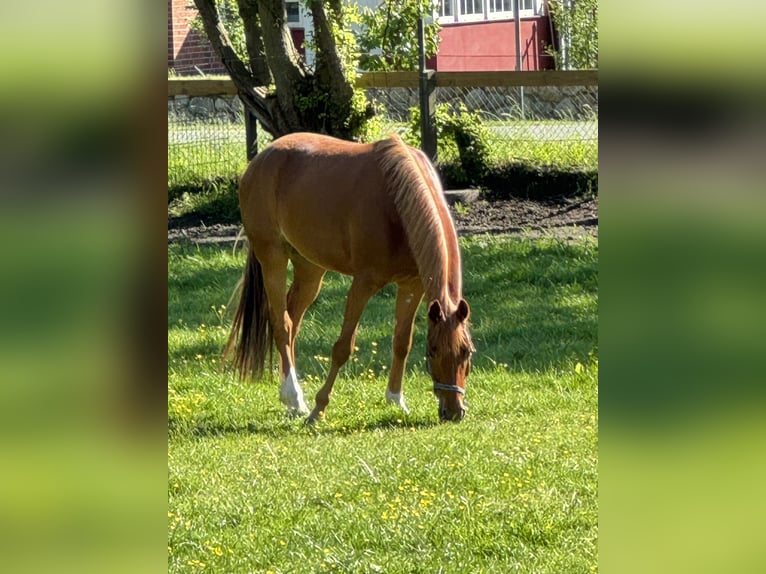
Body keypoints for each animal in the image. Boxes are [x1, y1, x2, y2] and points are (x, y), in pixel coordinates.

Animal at [224, 134, 474, 424]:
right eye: (432, 350)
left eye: (466, 352)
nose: (454, 412)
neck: (397, 204)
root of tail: (260, 159)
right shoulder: (363, 284)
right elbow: (343, 347)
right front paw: (319, 408)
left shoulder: (412, 285)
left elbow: (402, 342)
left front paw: (396, 400)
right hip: (272, 257)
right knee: (281, 324)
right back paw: (295, 399)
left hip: (310, 268)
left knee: (292, 319)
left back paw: (289, 398)